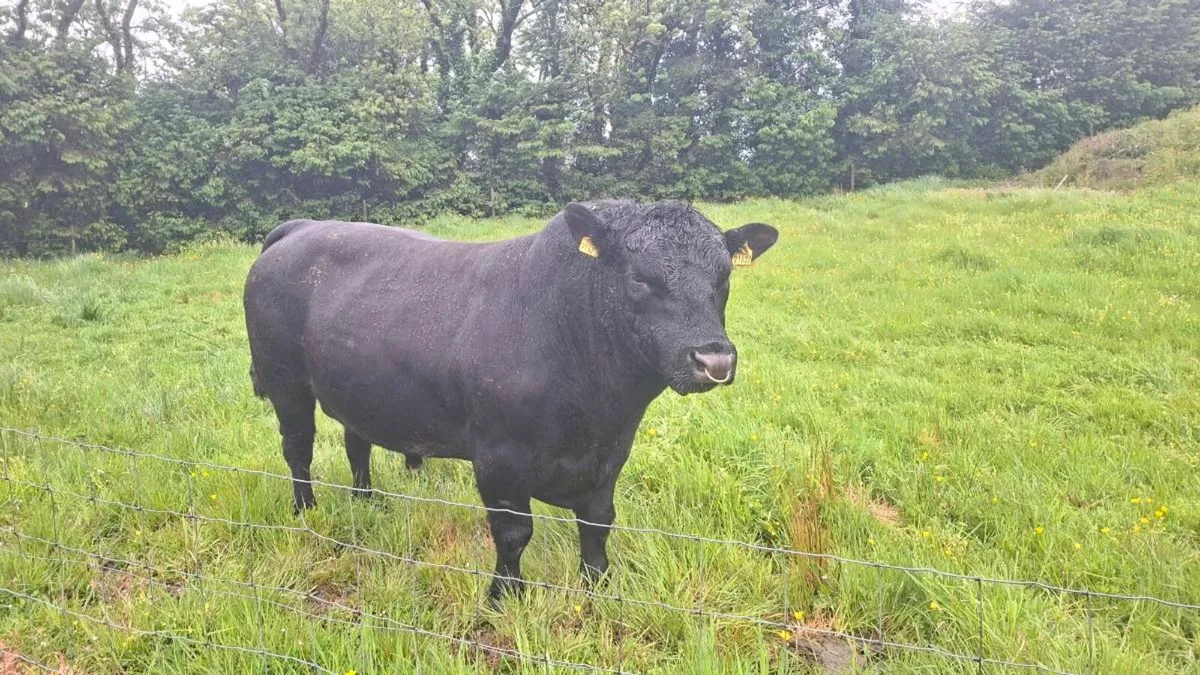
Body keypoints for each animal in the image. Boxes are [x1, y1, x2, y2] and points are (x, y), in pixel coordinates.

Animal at [242, 200, 778, 602]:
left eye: (724, 278)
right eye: (640, 278)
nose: (714, 358)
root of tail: (303, 227)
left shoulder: (611, 455)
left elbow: (598, 524)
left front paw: (599, 586)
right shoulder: (499, 457)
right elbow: (513, 532)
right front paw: (505, 596)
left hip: (362, 389)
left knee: (357, 443)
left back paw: (368, 501)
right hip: (286, 381)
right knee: (298, 448)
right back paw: (306, 510)